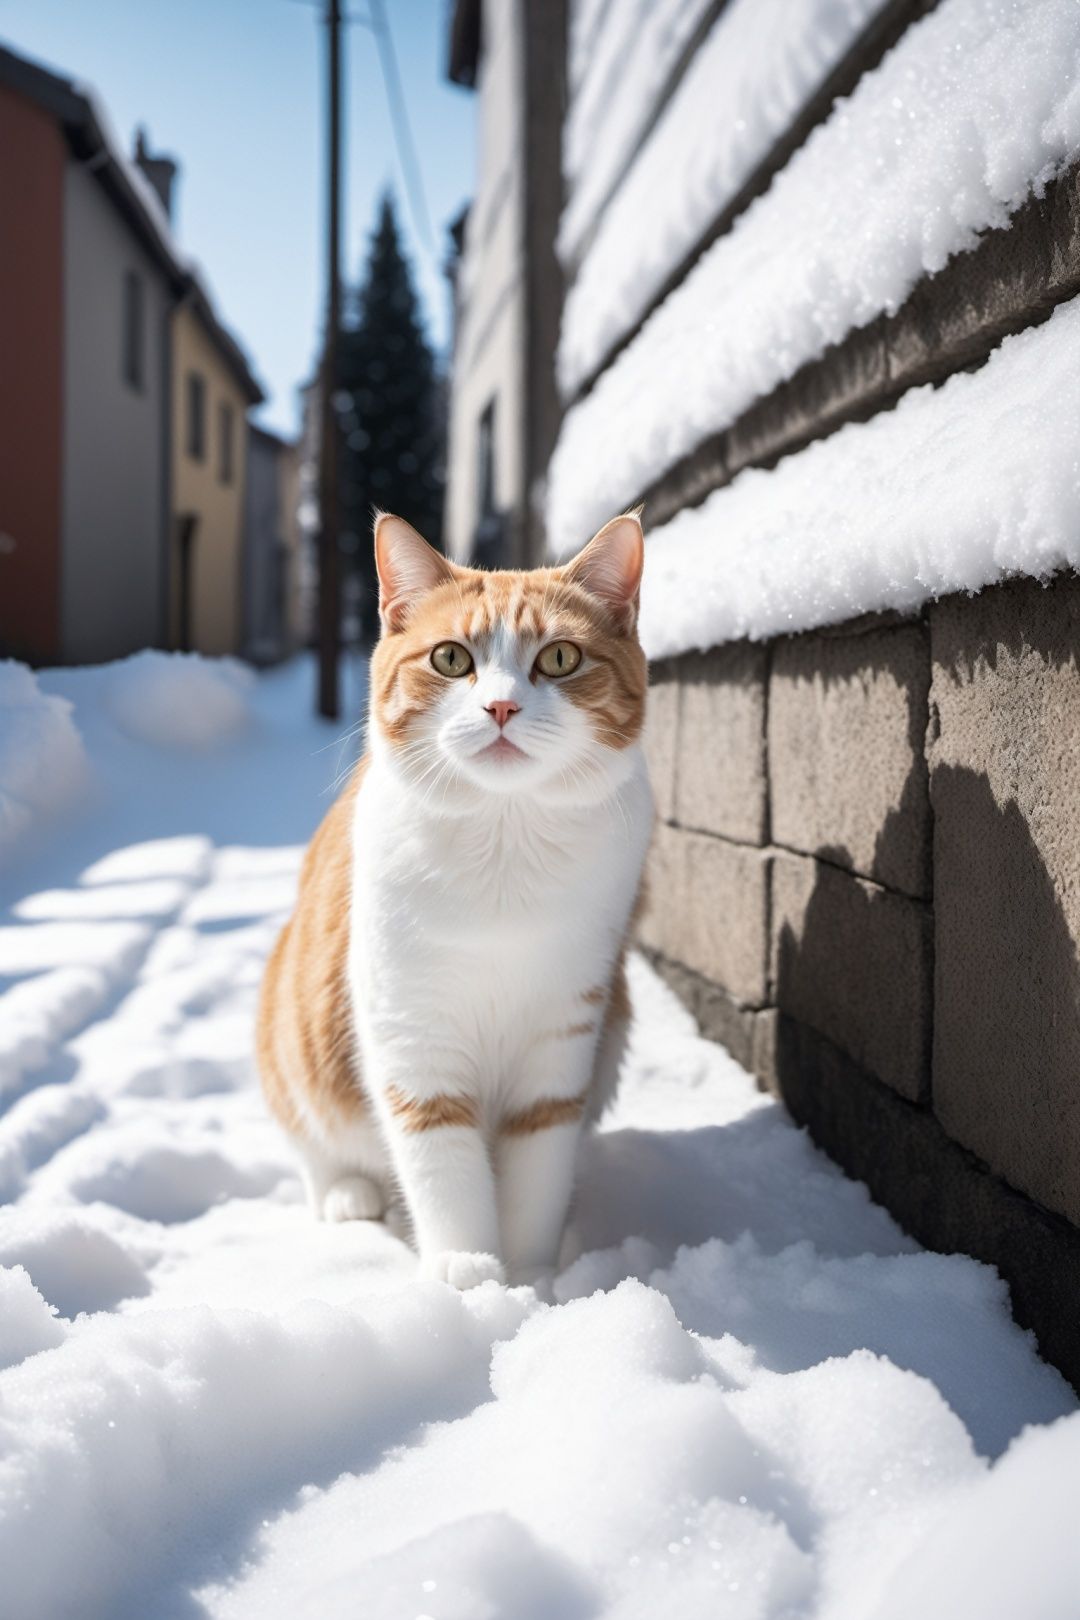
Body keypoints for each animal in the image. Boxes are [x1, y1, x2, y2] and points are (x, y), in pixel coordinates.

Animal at [257, 508, 654, 1289]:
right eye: (449, 659)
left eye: (559, 659)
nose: (500, 705)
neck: (505, 843)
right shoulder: (413, 1032)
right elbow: (442, 1164)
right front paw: (469, 1279)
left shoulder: (563, 1031)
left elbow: (538, 1162)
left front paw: (533, 1280)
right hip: (289, 1030)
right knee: (313, 1141)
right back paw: (349, 1195)